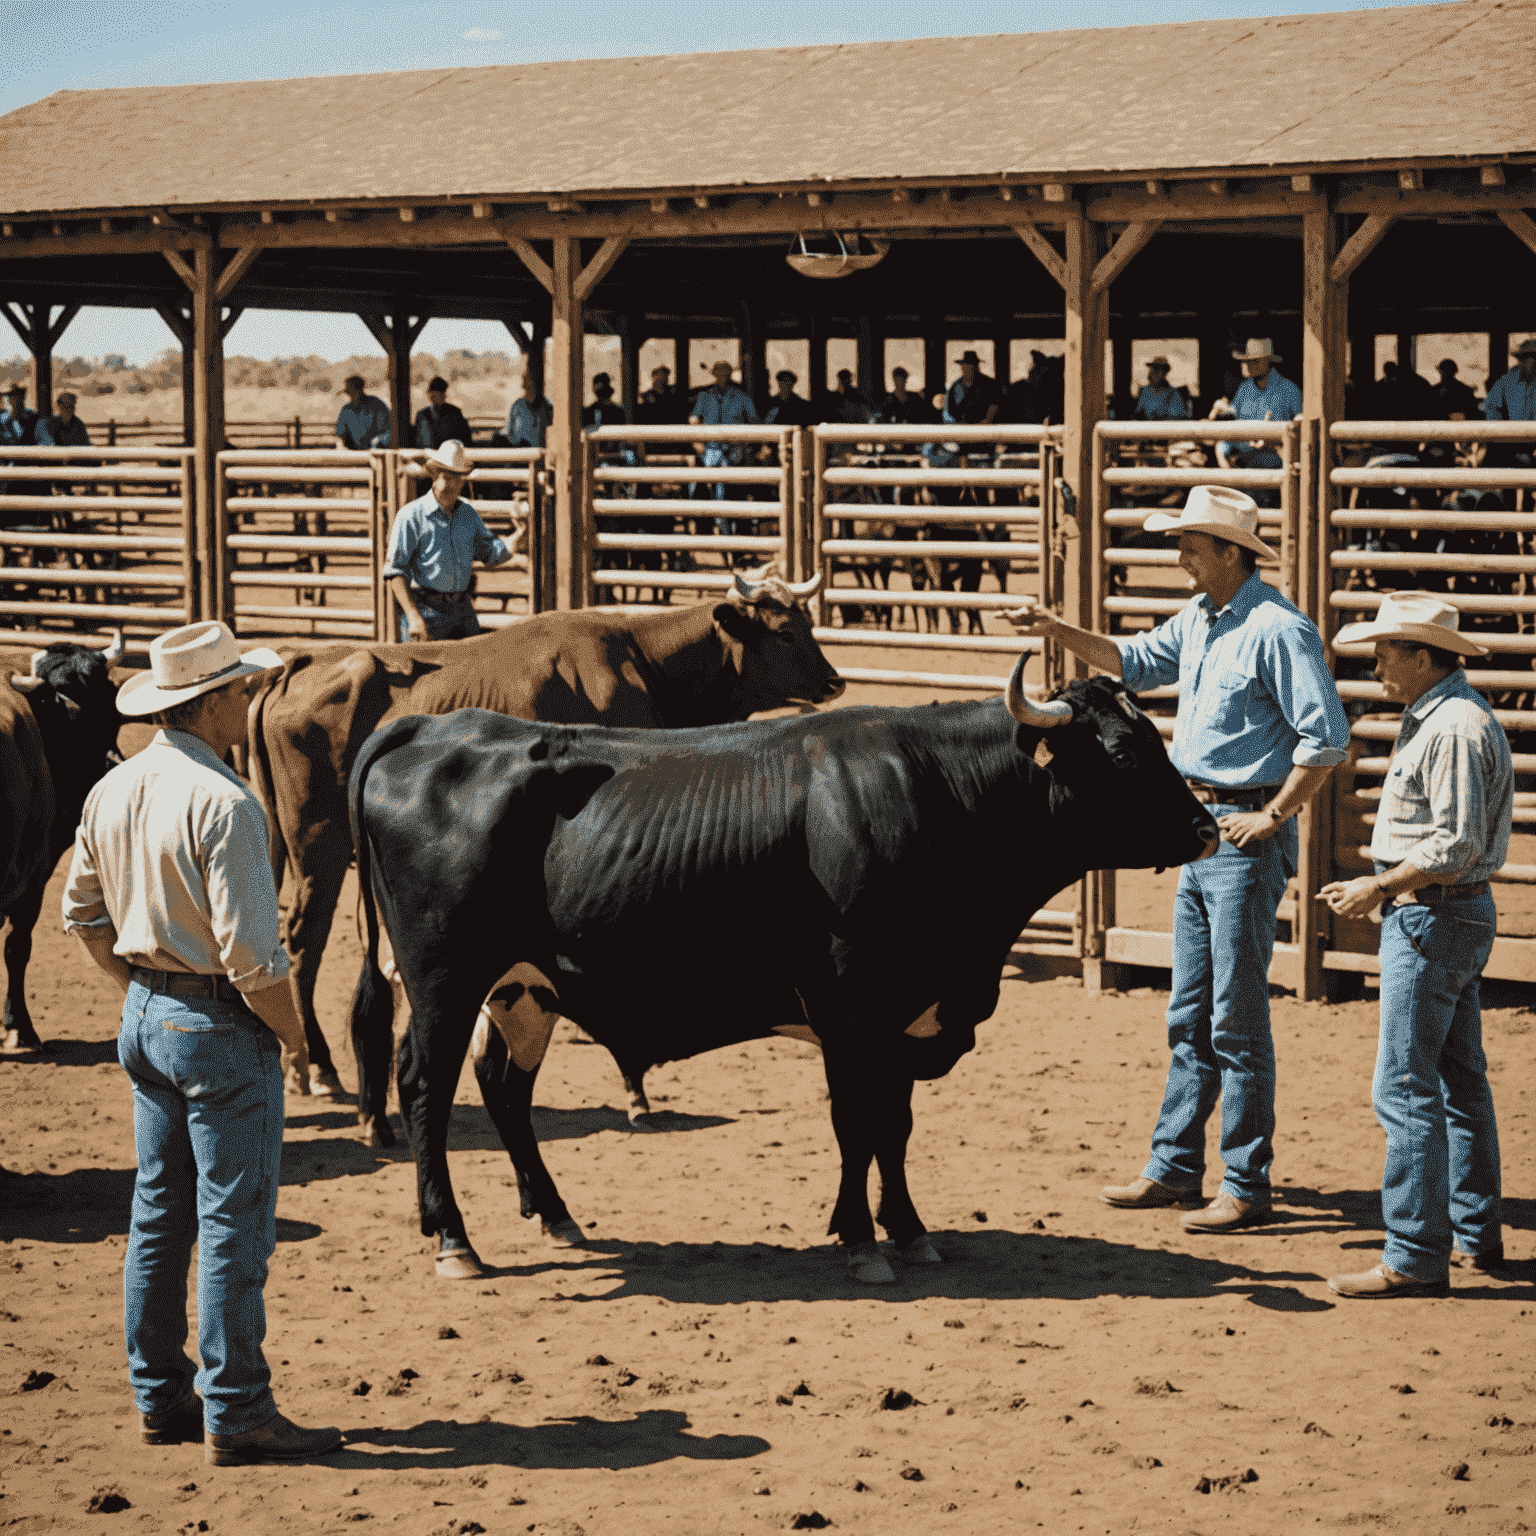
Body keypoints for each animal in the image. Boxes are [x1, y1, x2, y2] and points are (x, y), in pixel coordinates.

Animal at [247, 571, 847, 1124]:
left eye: (807, 624)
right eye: (785, 632)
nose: (836, 681)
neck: (641, 663)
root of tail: (297, 664)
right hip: (318, 847)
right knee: (304, 941)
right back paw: (317, 1067)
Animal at [345, 672, 1210, 1284]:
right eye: (1124, 753)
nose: (1206, 827)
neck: (934, 792)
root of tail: (433, 728)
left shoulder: (903, 1020)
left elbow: (893, 1129)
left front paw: (908, 1230)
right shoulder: (850, 1011)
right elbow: (857, 1126)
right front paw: (860, 1240)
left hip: (524, 989)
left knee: (503, 1086)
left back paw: (556, 1215)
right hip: (443, 979)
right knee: (424, 1084)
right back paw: (453, 1238)